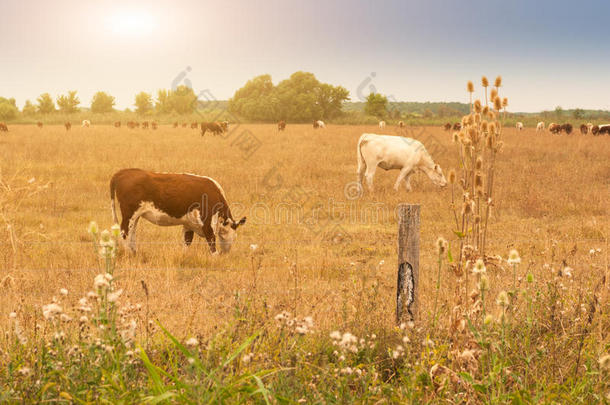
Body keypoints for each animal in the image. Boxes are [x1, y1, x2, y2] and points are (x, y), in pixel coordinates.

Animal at [109, 167, 245, 252]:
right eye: (232, 235)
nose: (226, 252)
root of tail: (122, 172)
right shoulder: (207, 224)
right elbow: (211, 242)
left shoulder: (189, 224)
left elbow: (186, 242)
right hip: (129, 214)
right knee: (125, 233)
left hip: (135, 216)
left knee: (131, 233)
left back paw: (134, 252)